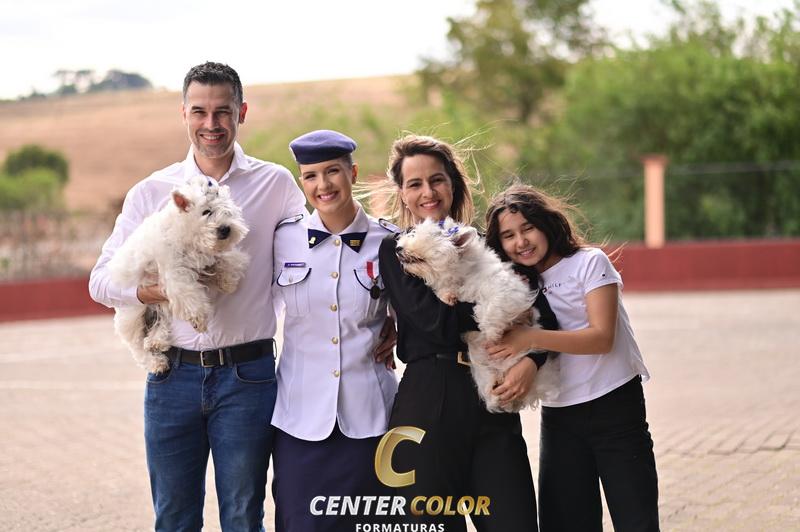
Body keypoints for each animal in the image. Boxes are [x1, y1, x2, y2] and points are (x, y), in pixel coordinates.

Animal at [108, 175, 250, 373]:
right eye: (207, 212)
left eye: (228, 212)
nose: (225, 229)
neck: (187, 232)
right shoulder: (175, 274)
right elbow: (191, 297)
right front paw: (199, 320)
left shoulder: (208, 258)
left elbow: (227, 260)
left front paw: (227, 281)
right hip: (133, 315)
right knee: (137, 346)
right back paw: (156, 362)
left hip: (158, 306)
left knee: (160, 323)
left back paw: (157, 342)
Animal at [396, 217, 559, 412]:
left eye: (429, 235)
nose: (398, 248)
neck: (462, 275)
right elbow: (449, 294)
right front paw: (448, 297)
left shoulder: (508, 289)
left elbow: (491, 307)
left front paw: (492, 334)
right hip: (484, 373)